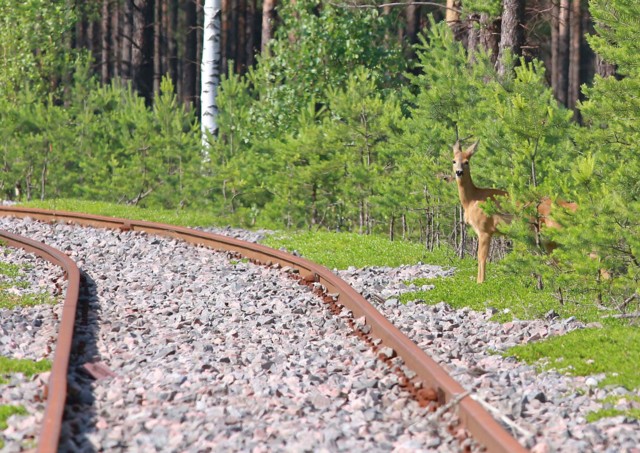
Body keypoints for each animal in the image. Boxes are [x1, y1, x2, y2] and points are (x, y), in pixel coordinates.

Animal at [450, 141, 580, 282]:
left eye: (466, 162)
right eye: (454, 161)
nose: (459, 172)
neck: (473, 199)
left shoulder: (485, 229)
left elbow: (482, 258)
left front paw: (480, 282)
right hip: (550, 240)